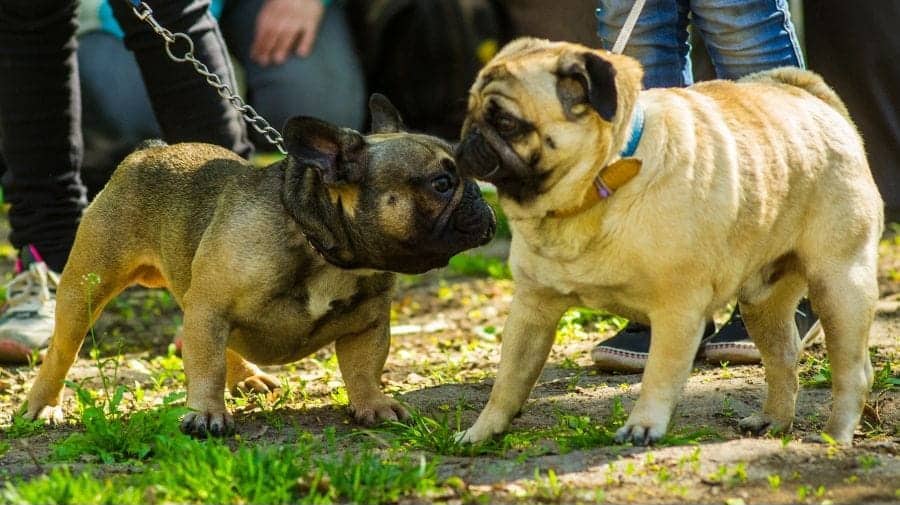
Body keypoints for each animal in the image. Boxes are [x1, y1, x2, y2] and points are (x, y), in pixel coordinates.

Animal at [22, 95, 500, 438]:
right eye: (442, 184)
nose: (480, 195)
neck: (323, 250)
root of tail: (147, 150)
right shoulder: (212, 307)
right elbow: (206, 366)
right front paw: (206, 415)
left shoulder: (367, 324)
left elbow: (364, 368)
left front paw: (374, 405)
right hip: (88, 286)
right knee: (63, 350)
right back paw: (42, 405)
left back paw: (248, 378)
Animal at [454, 37, 884, 442]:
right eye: (469, 111)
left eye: (507, 122)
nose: (467, 139)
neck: (596, 189)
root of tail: (814, 100)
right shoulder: (531, 310)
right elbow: (509, 380)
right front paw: (482, 431)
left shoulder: (677, 309)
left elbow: (659, 374)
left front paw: (644, 426)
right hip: (761, 303)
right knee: (782, 360)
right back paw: (773, 421)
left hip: (840, 285)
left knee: (853, 372)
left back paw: (834, 436)